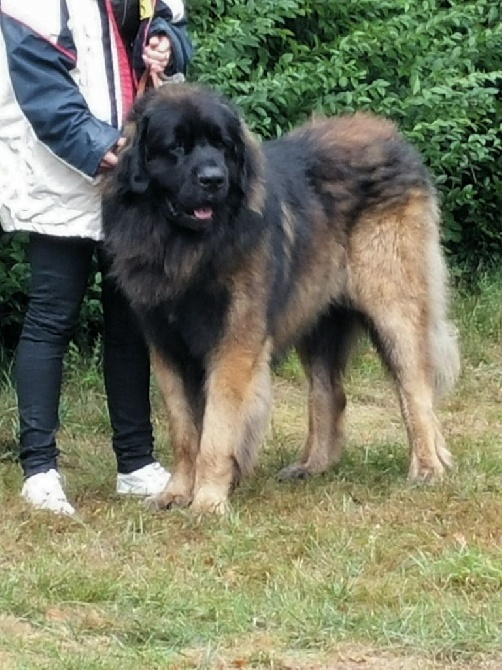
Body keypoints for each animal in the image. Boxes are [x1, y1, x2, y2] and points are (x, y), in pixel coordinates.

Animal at [102, 82, 458, 516]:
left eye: (221, 145)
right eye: (176, 147)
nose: (213, 179)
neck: (186, 247)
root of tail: (393, 138)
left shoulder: (234, 344)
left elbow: (216, 432)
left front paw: (207, 502)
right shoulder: (166, 347)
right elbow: (185, 431)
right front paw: (176, 492)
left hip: (393, 307)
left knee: (416, 389)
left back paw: (427, 467)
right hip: (319, 317)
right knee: (330, 394)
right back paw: (313, 466)